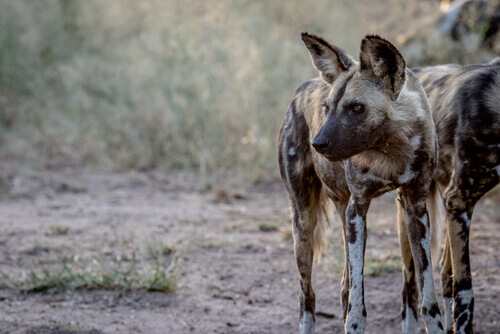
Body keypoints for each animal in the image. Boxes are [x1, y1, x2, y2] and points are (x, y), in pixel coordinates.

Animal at [278, 32, 446, 334]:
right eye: (327, 109)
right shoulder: (358, 208)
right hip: (304, 223)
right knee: (307, 295)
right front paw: (354, 324)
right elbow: (357, 303)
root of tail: (301, 89)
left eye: (356, 108)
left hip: (348, 214)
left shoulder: (416, 209)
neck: (390, 149)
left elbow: (427, 296)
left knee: (345, 286)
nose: (317, 144)